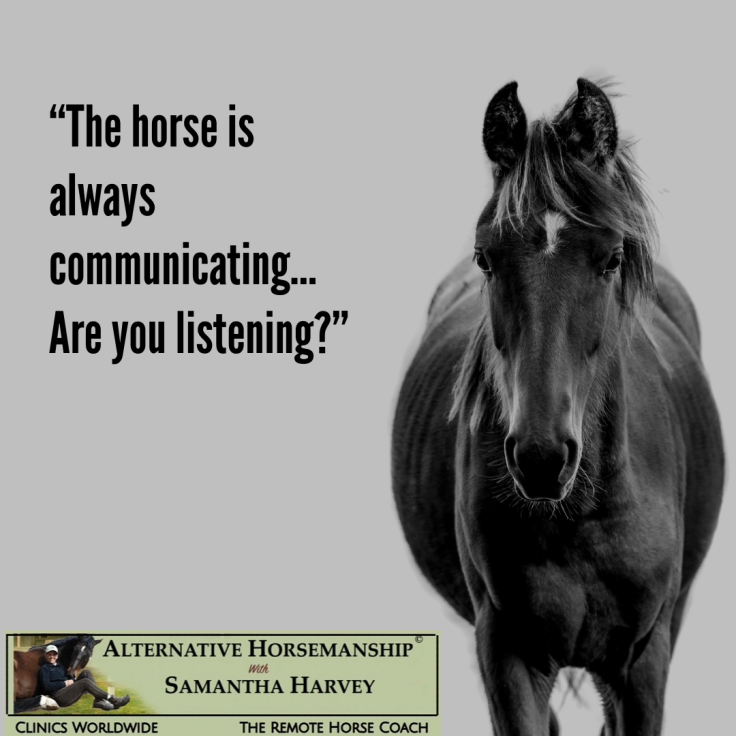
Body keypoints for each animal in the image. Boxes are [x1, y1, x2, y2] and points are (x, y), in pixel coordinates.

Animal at [392, 79, 724, 735]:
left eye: (612, 258)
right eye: (486, 257)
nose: (542, 457)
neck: (580, 519)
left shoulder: (643, 661)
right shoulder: (508, 655)